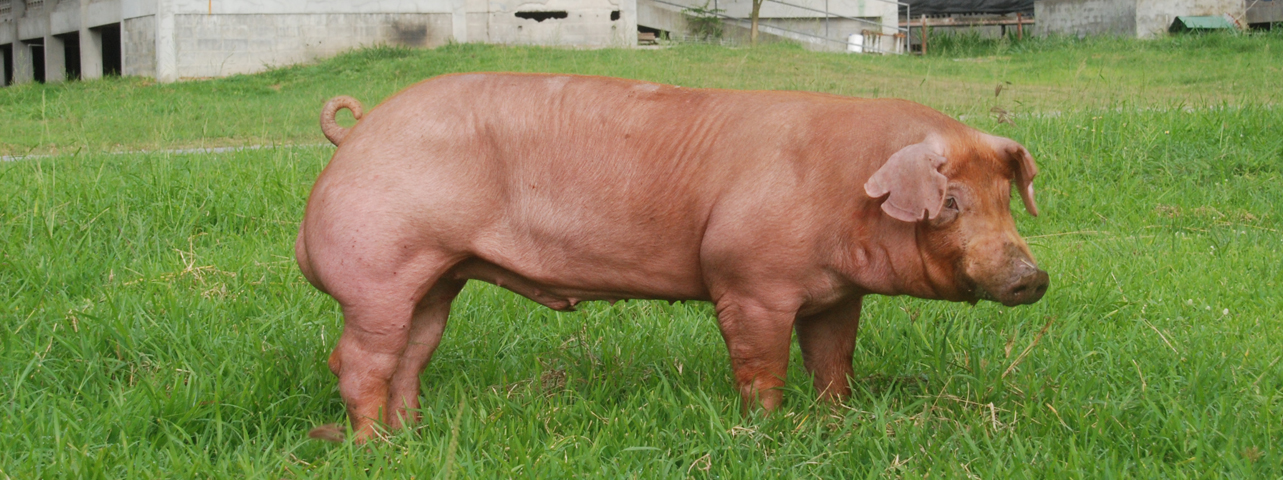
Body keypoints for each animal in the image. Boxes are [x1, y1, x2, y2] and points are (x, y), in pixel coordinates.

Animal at [296, 73, 1049, 442]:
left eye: (1005, 199)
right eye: (948, 203)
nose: (1032, 276)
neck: (847, 193)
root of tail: (357, 134)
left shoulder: (836, 295)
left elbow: (833, 362)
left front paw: (835, 421)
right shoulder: (749, 280)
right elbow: (761, 365)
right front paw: (766, 427)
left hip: (436, 277)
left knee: (410, 353)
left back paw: (412, 436)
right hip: (377, 266)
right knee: (357, 358)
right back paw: (369, 445)